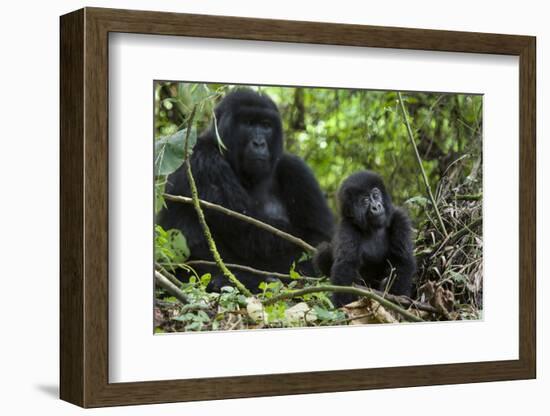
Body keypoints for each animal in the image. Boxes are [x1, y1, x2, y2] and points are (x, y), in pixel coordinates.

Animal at [157, 89, 334, 290]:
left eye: (266, 125)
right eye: (248, 123)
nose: (259, 143)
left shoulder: (297, 169)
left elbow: (319, 236)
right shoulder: (202, 159)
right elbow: (250, 233)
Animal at [316, 171, 416, 308]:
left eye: (376, 195)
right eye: (365, 200)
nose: (376, 206)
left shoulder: (400, 218)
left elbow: (402, 260)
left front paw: (397, 299)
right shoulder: (348, 228)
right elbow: (346, 266)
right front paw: (344, 306)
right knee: (323, 250)